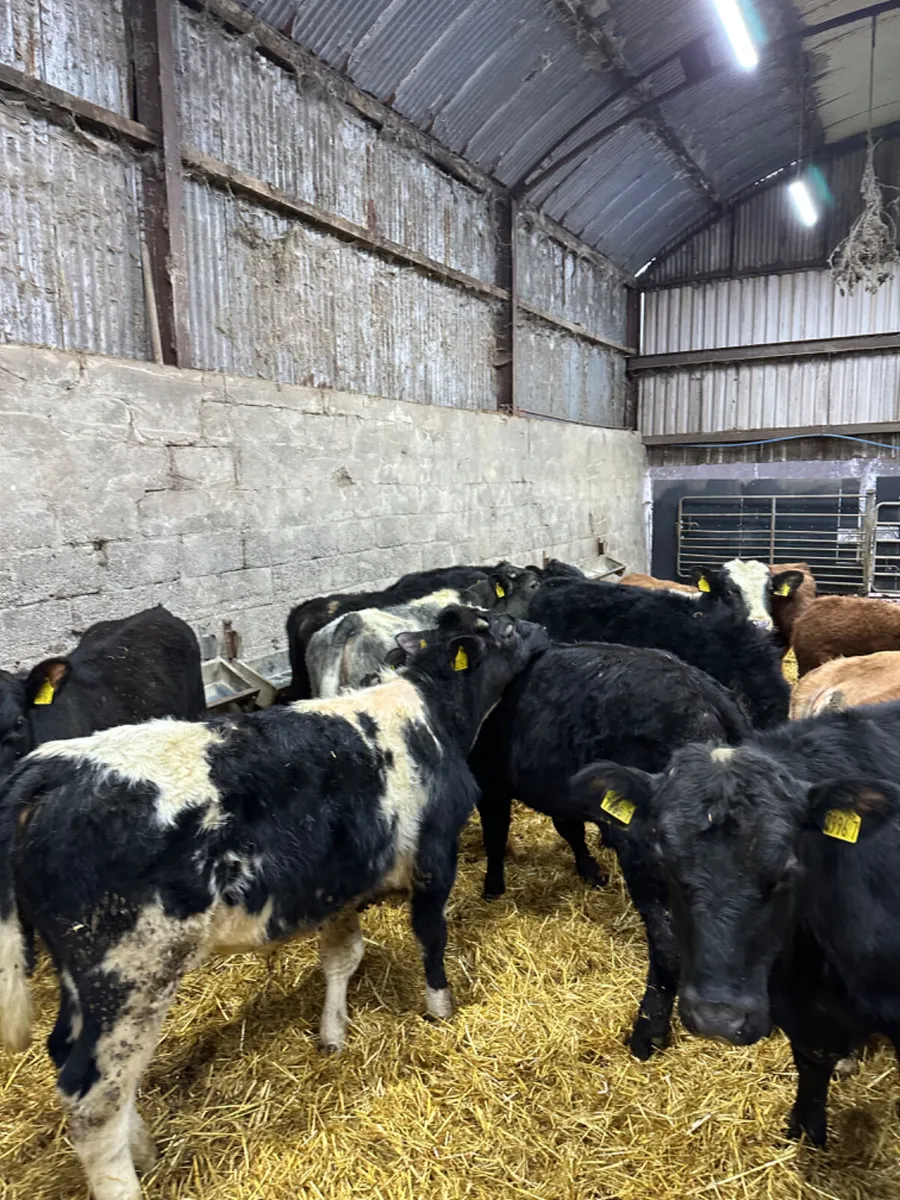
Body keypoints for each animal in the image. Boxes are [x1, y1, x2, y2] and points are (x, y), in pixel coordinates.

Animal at [468, 642, 750, 1060]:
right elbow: (567, 827)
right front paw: (590, 871)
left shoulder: (491, 782)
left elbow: (496, 832)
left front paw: (492, 886)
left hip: (646, 855)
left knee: (668, 947)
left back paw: (646, 1035)